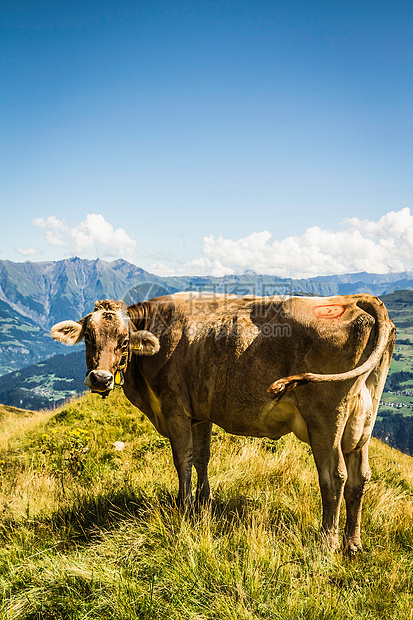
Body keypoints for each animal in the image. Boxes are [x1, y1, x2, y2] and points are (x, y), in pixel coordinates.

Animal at [50, 294, 392, 556]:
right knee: (360, 477)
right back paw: (352, 543)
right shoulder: (200, 412)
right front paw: (204, 502)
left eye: (124, 341)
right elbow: (202, 457)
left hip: (326, 419)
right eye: (89, 337)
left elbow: (183, 460)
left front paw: (184, 508)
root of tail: (356, 299)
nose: (100, 379)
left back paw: (327, 544)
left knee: (334, 477)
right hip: (362, 421)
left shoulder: (174, 408)